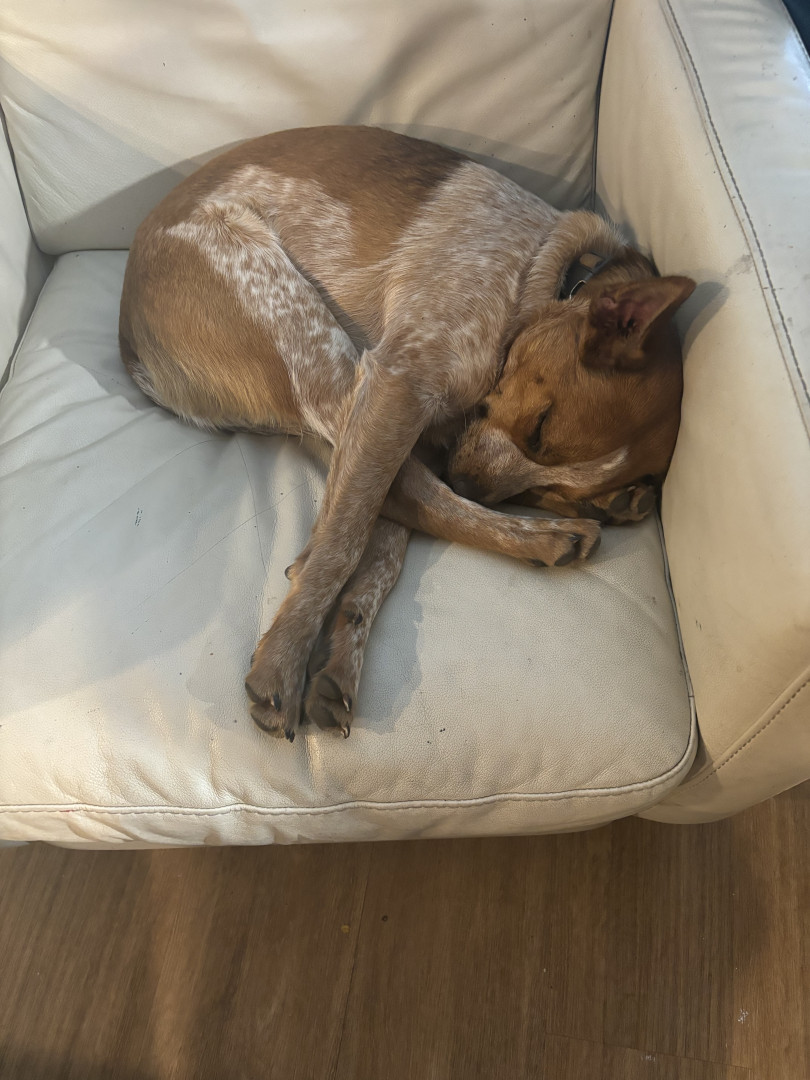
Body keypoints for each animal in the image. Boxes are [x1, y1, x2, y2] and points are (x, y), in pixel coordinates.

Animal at [119, 125, 695, 740]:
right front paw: (285, 656)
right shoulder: (398, 382)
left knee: (397, 496)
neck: (543, 277)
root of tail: (128, 336)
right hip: (308, 339)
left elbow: (382, 546)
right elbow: (349, 538)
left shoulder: (407, 418)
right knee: (392, 498)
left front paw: (338, 651)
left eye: (549, 489)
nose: (470, 484)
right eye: (540, 426)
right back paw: (547, 537)